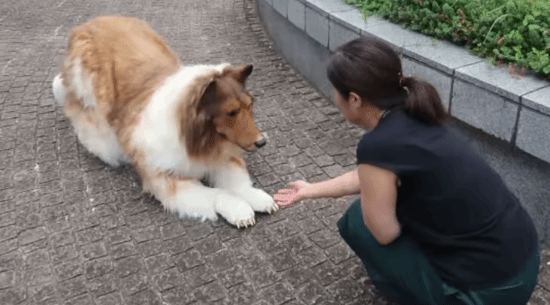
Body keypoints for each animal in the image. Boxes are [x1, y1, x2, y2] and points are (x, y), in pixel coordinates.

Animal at [52, 15, 280, 227]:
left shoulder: (222, 158)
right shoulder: (167, 179)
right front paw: (239, 210)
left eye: (250, 105)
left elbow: (238, 184)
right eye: (231, 112)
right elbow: (217, 194)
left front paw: (257, 198)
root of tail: (86, 24)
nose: (262, 142)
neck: (199, 141)